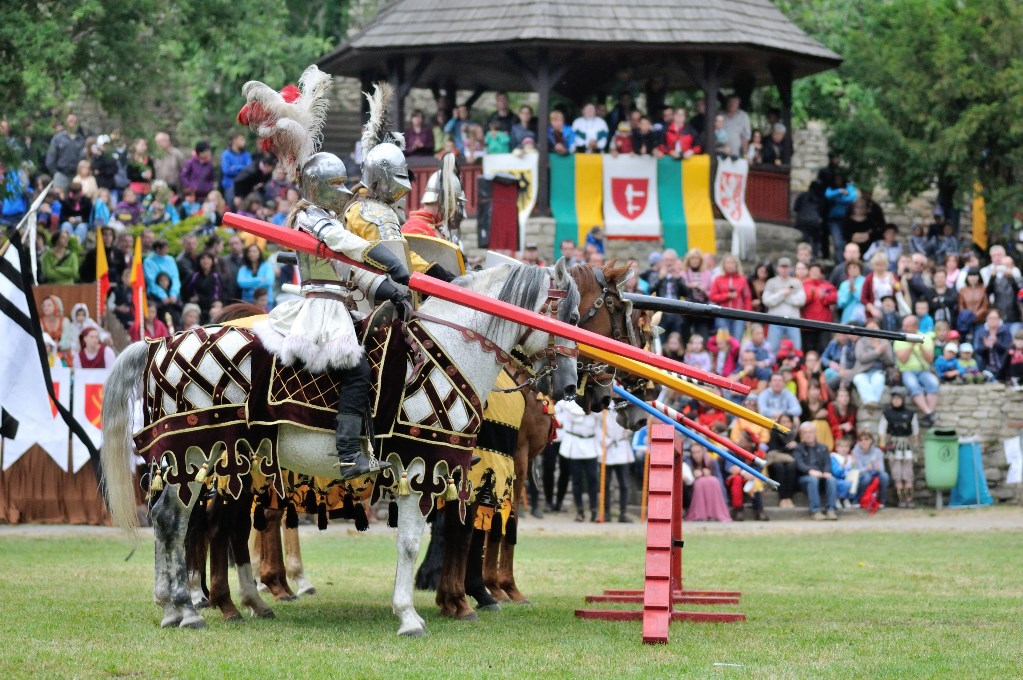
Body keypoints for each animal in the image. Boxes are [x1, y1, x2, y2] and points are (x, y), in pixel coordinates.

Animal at [103, 260, 585, 638]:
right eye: (566, 313)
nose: (568, 385)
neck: (447, 351)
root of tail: (159, 344)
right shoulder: (419, 468)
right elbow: (411, 542)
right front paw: (409, 616)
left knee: (174, 520)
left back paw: (178, 606)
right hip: (194, 449)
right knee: (176, 520)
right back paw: (187, 608)